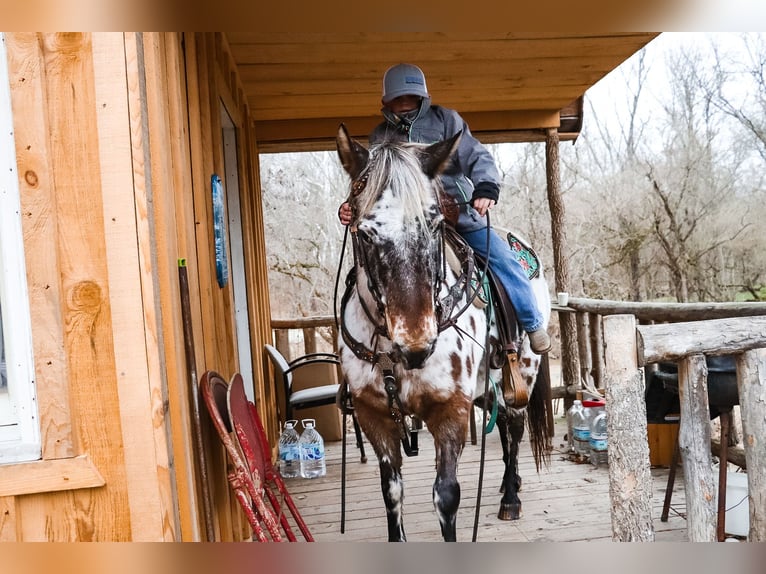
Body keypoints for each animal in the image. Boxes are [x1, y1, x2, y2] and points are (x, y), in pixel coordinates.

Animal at [338, 124, 552, 544]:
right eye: (365, 233)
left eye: (435, 224)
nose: (416, 345)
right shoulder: (374, 416)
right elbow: (392, 491)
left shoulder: (449, 408)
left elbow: (446, 495)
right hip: (488, 385)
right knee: (504, 429)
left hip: (523, 374)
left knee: (515, 426)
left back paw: (511, 497)